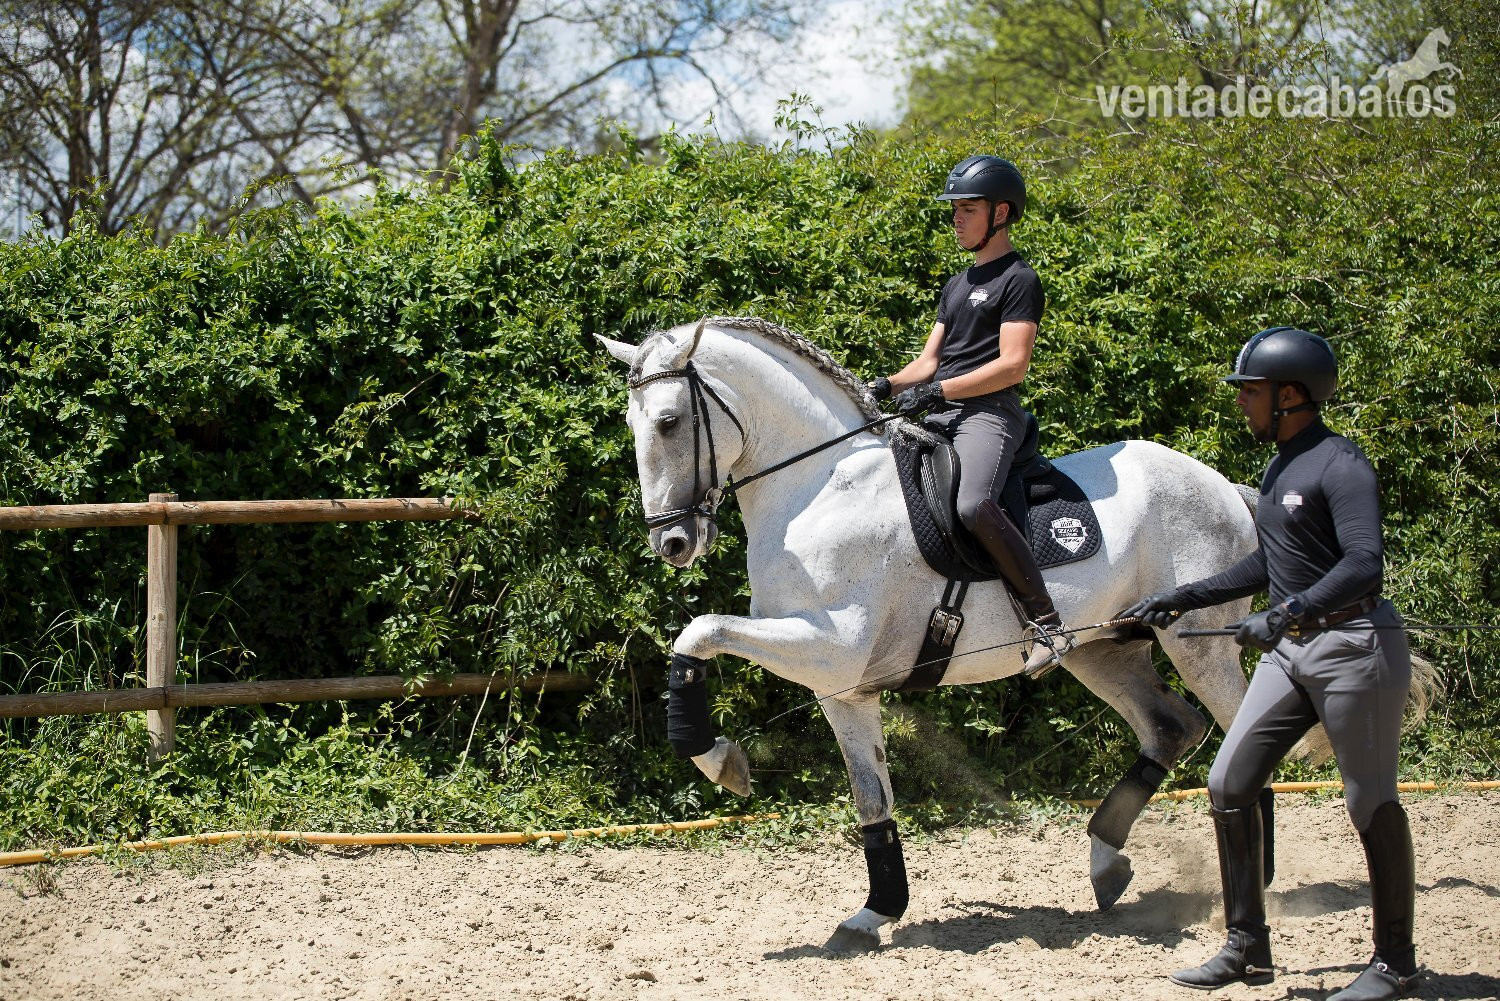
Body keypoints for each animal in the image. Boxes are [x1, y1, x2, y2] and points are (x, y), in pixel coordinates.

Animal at [598, 316, 1309, 951]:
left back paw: (1253, 882)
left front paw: (718, 760)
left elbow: (697, 631)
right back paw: (1107, 863)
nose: (672, 543)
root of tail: (1223, 485)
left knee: (1236, 734)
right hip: (1106, 651)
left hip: (1199, 643)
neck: (819, 488)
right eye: (634, 425)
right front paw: (874, 914)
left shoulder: (831, 648)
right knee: (1172, 728)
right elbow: (872, 798)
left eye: (669, 421)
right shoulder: (842, 687)